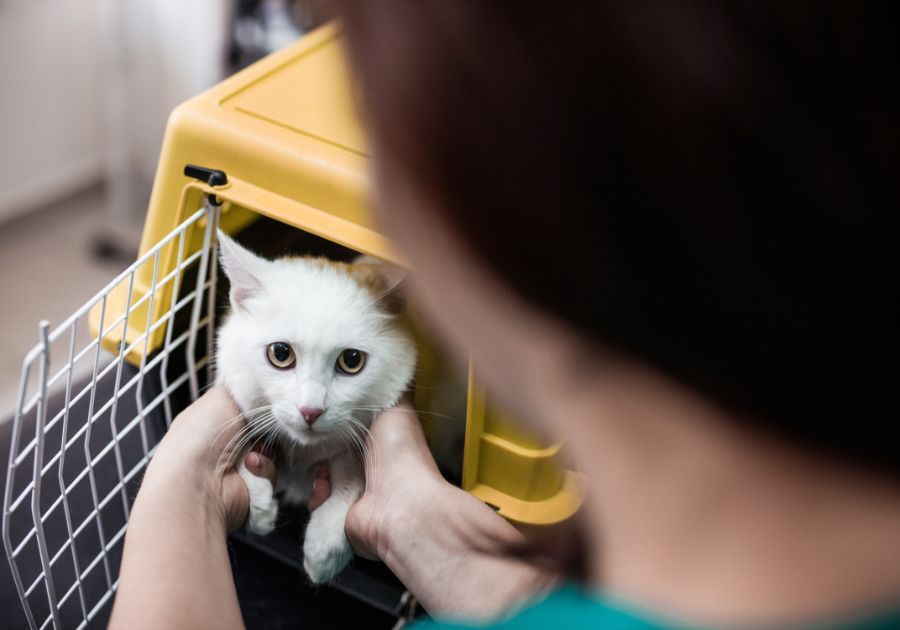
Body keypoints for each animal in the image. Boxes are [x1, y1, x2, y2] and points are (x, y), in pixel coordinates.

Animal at [214, 233, 418, 588]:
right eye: (280, 353)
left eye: (352, 360)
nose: (311, 410)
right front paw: (258, 503)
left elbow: (355, 472)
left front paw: (325, 548)